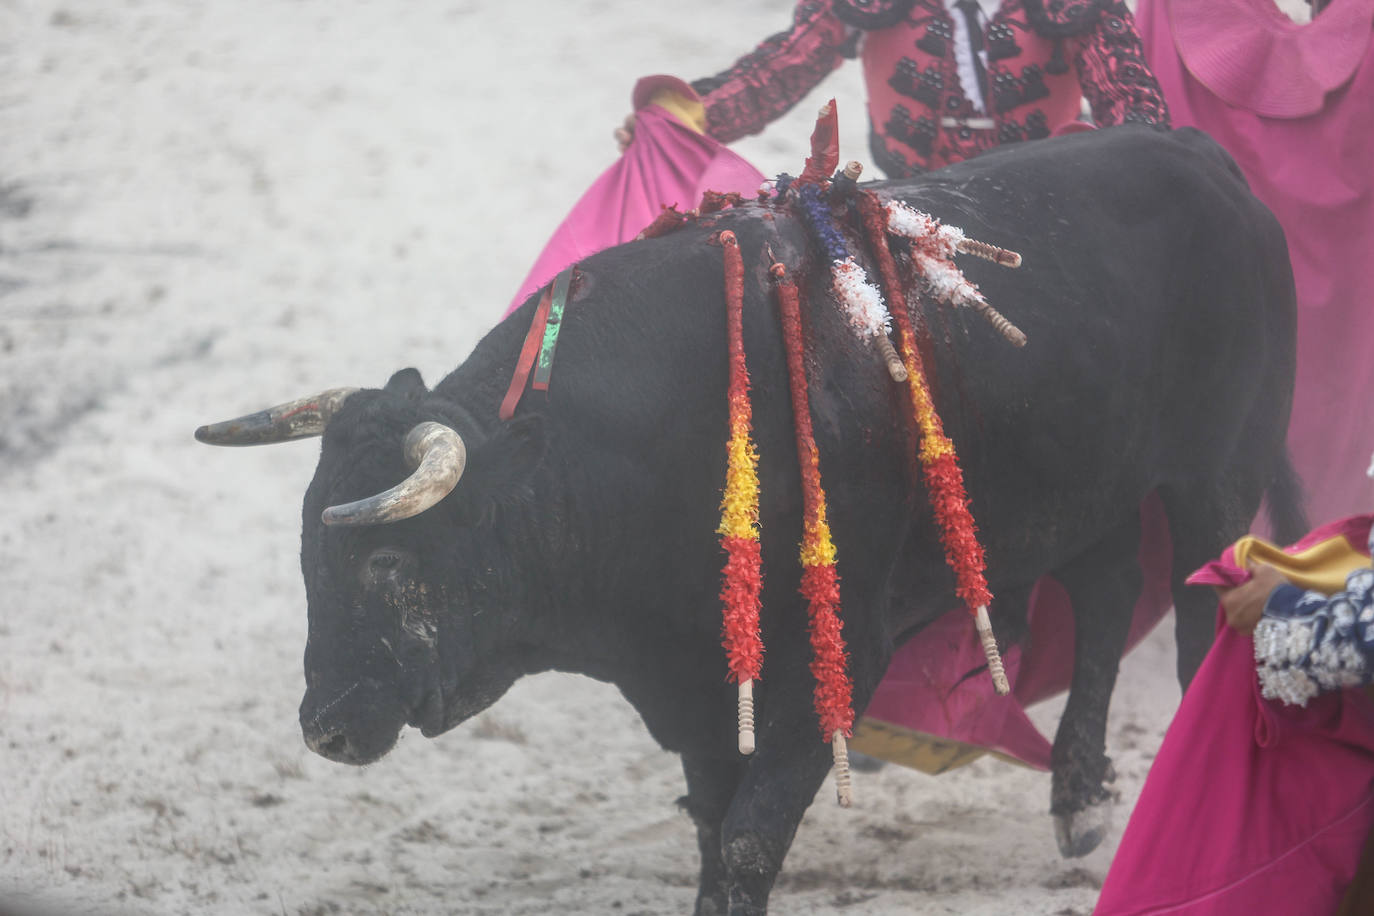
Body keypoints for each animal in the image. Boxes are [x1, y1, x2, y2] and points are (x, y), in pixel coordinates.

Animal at [196, 127, 1297, 916]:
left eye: (387, 560)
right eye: (307, 559)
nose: (327, 725)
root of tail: (1214, 164)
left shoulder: (833, 661)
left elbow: (745, 840)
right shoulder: (692, 685)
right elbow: (713, 825)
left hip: (1214, 473)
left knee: (1200, 613)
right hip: (1081, 486)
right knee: (1108, 591)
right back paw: (1077, 802)